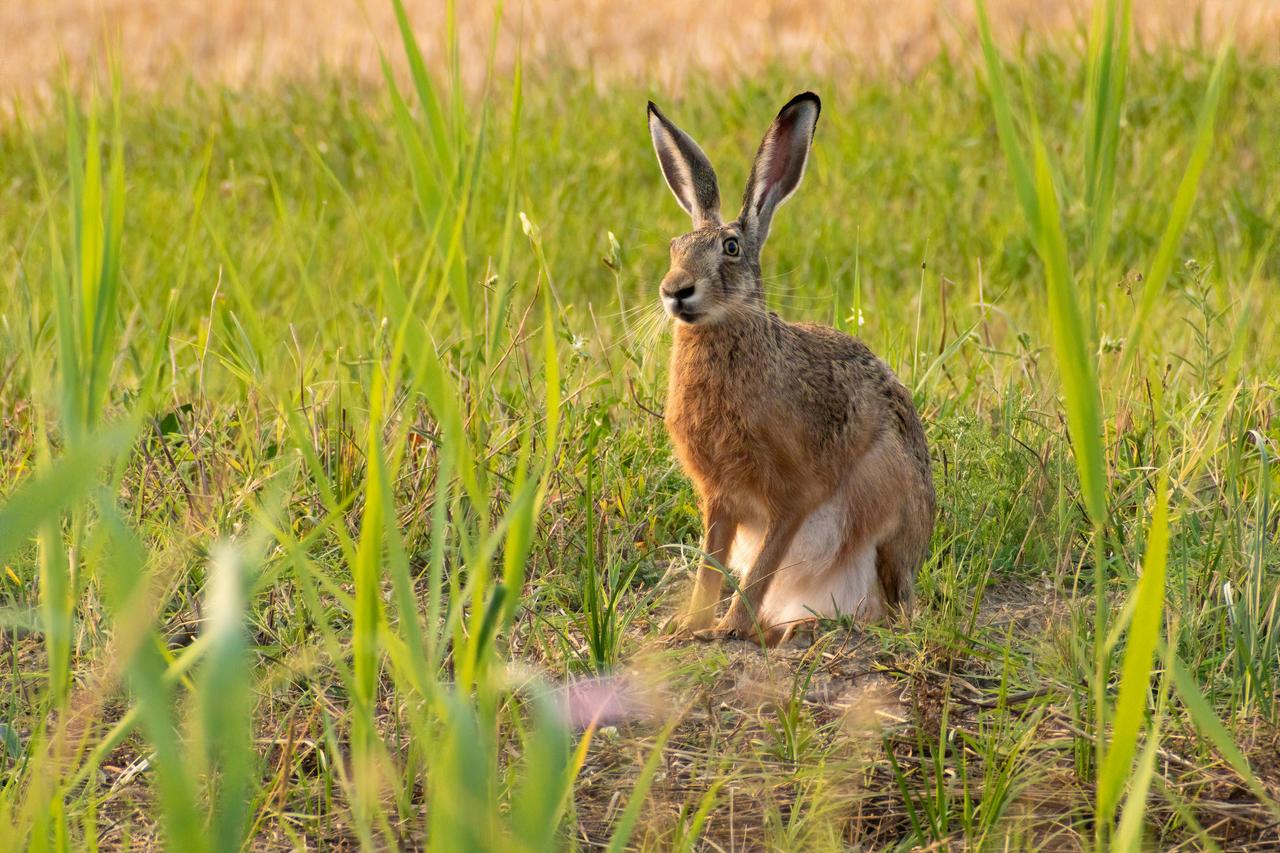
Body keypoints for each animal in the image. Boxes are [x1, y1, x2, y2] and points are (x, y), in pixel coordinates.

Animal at [647, 92, 936, 647]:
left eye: (731, 249)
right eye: (674, 248)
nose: (675, 289)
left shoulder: (793, 494)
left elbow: (762, 566)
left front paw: (728, 629)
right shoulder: (719, 497)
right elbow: (710, 564)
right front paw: (689, 624)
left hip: (883, 508)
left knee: (880, 609)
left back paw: (800, 628)